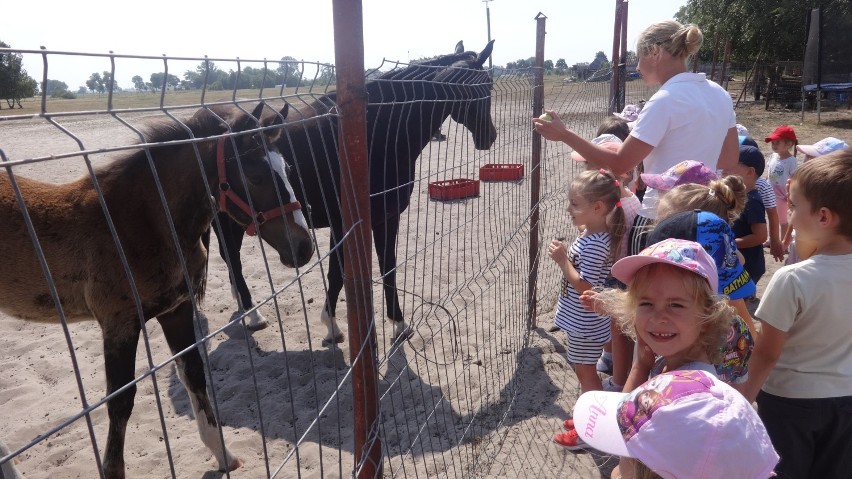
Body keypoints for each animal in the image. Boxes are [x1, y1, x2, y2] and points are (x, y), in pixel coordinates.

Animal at [0, 103, 312, 478]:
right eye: (255, 177)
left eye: (288, 169)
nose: (304, 247)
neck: (141, 223)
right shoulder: (119, 323)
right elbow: (120, 401)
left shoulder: (176, 310)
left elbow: (194, 374)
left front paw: (223, 455)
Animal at [215, 39, 500, 344]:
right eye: (485, 84)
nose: (490, 136)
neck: (374, 133)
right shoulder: (346, 222)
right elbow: (338, 273)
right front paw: (333, 326)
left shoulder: (385, 217)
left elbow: (387, 267)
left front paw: (398, 323)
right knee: (232, 258)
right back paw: (253, 315)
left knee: (230, 258)